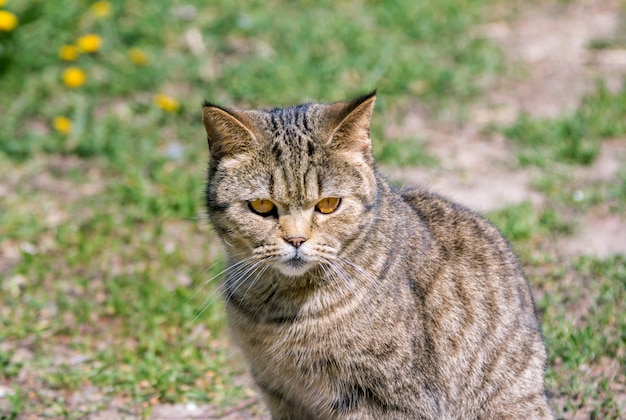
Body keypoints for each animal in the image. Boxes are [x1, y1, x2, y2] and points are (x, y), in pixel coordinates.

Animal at [200, 92, 552, 420]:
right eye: (261, 206)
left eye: (328, 204)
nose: (296, 239)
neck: (283, 314)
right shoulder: (280, 392)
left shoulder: (389, 399)